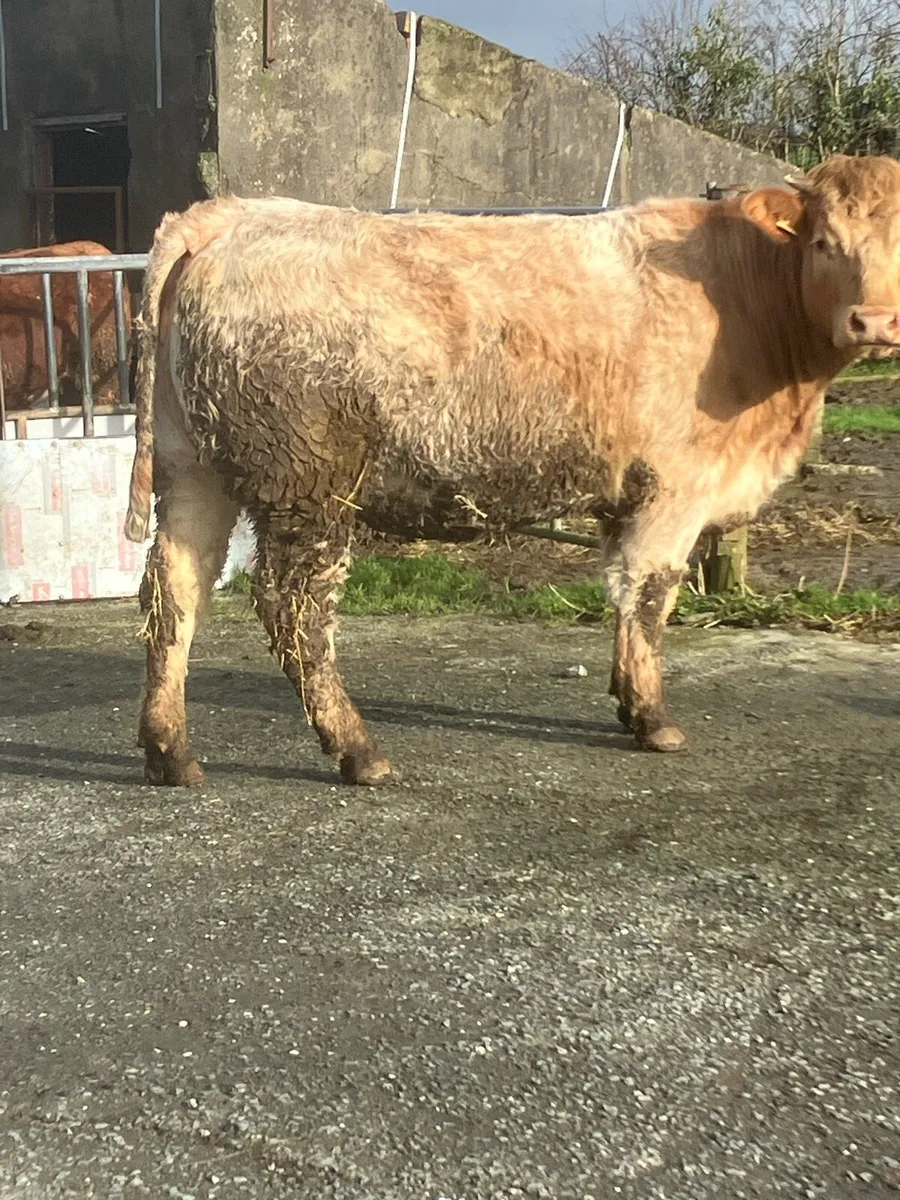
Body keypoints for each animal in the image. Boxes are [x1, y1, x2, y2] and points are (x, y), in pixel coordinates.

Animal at [123, 153, 900, 788]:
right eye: (826, 243)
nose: (874, 323)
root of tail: (230, 214)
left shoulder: (628, 496)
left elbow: (623, 595)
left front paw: (628, 701)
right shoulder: (675, 488)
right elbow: (650, 597)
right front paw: (653, 720)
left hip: (192, 467)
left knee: (175, 590)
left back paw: (170, 751)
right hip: (308, 485)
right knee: (294, 608)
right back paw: (357, 750)